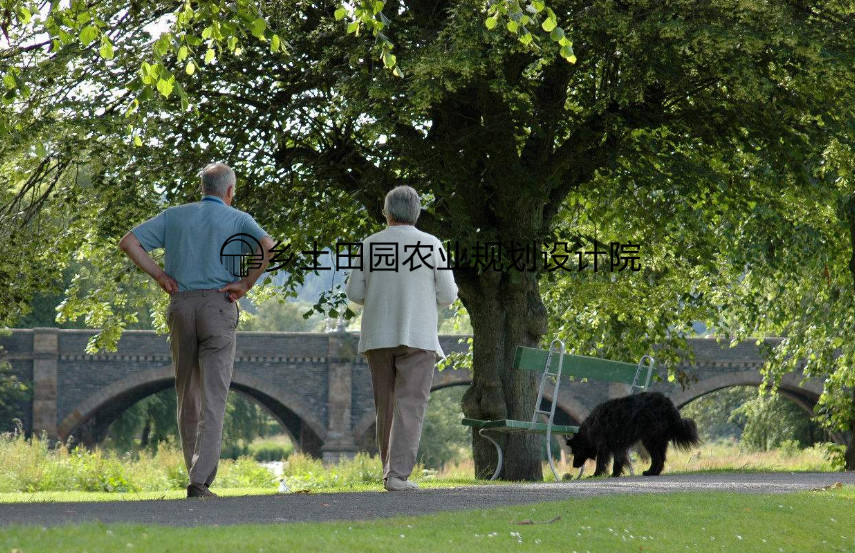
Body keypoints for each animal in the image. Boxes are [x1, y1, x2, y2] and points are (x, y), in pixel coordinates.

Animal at [564, 390, 700, 476]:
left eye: (576, 451)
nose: (574, 466)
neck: (589, 430)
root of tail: (668, 405)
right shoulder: (618, 445)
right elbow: (618, 461)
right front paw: (615, 474)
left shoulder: (603, 445)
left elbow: (601, 462)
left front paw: (597, 474)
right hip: (660, 440)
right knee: (661, 458)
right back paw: (654, 472)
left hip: (650, 439)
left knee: (657, 458)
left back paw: (650, 472)